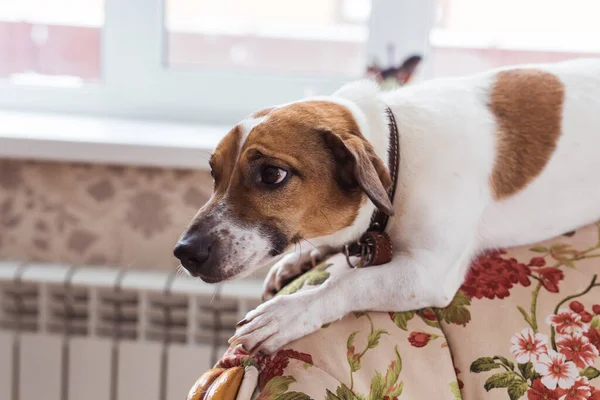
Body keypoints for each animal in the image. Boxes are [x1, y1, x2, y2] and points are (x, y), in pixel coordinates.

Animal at [176, 58, 600, 354]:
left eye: (272, 174)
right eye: (213, 173)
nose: (185, 252)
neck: (399, 151)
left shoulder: (427, 275)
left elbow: (348, 282)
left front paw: (289, 311)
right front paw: (301, 259)